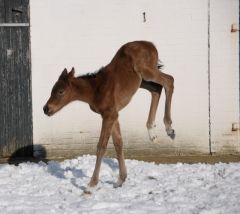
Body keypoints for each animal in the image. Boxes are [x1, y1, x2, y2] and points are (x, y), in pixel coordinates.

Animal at [43, 40, 174, 192]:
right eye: (52, 90)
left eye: (61, 91)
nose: (46, 109)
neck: (95, 89)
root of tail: (150, 44)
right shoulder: (113, 115)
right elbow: (118, 143)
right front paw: (120, 180)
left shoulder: (109, 115)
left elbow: (101, 146)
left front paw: (91, 185)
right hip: (141, 80)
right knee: (156, 89)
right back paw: (151, 131)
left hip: (146, 71)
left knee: (169, 80)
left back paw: (169, 128)